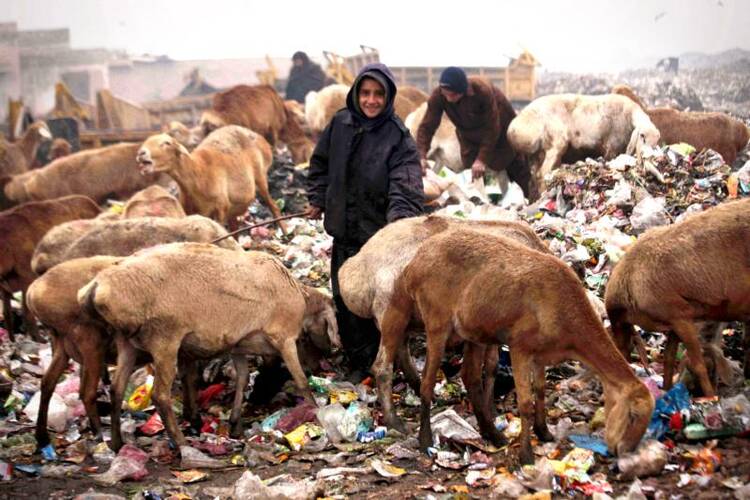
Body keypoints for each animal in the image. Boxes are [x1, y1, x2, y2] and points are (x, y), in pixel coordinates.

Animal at [80, 243, 340, 450]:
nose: (319, 364)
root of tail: (98, 286)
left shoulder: (238, 345)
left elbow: (243, 378)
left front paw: (235, 424)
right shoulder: (284, 338)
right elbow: (301, 381)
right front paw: (315, 412)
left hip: (127, 343)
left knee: (116, 390)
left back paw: (116, 442)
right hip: (164, 339)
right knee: (160, 395)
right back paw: (180, 442)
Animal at [378, 230, 656, 464]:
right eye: (632, 415)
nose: (622, 452)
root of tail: (414, 263)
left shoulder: (541, 353)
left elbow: (541, 390)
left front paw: (544, 432)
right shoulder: (520, 347)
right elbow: (524, 403)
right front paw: (526, 455)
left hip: (473, 332)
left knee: (470, 376)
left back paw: (492, 433)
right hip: (437, 320)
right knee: (427, 381)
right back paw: (425, 439)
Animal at [604, 197, 750, 396]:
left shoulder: (679, 315)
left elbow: (697, 363)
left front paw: (710, 397)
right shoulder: (673, 320)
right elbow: (669, 358)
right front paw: (667, 391)